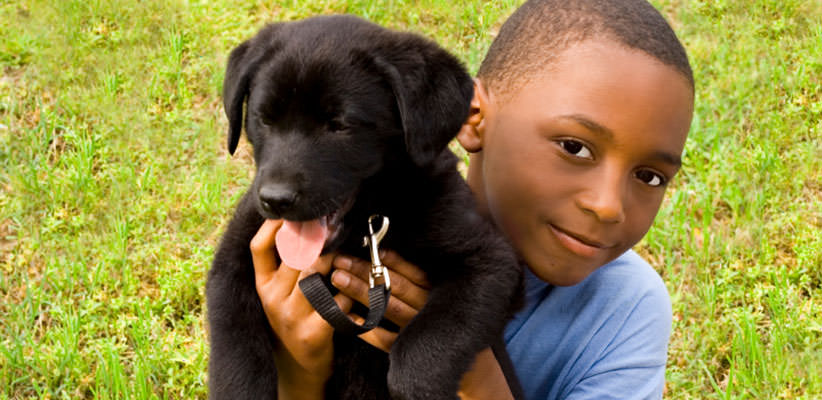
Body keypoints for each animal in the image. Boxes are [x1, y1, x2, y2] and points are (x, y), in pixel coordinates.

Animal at [209, 15, 524, 400]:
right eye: (264, 119)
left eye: (339, 125)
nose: (275, 199)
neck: (365, 230)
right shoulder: (234, 256)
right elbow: (235, 347)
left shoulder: (490, 261)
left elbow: (422, 351)